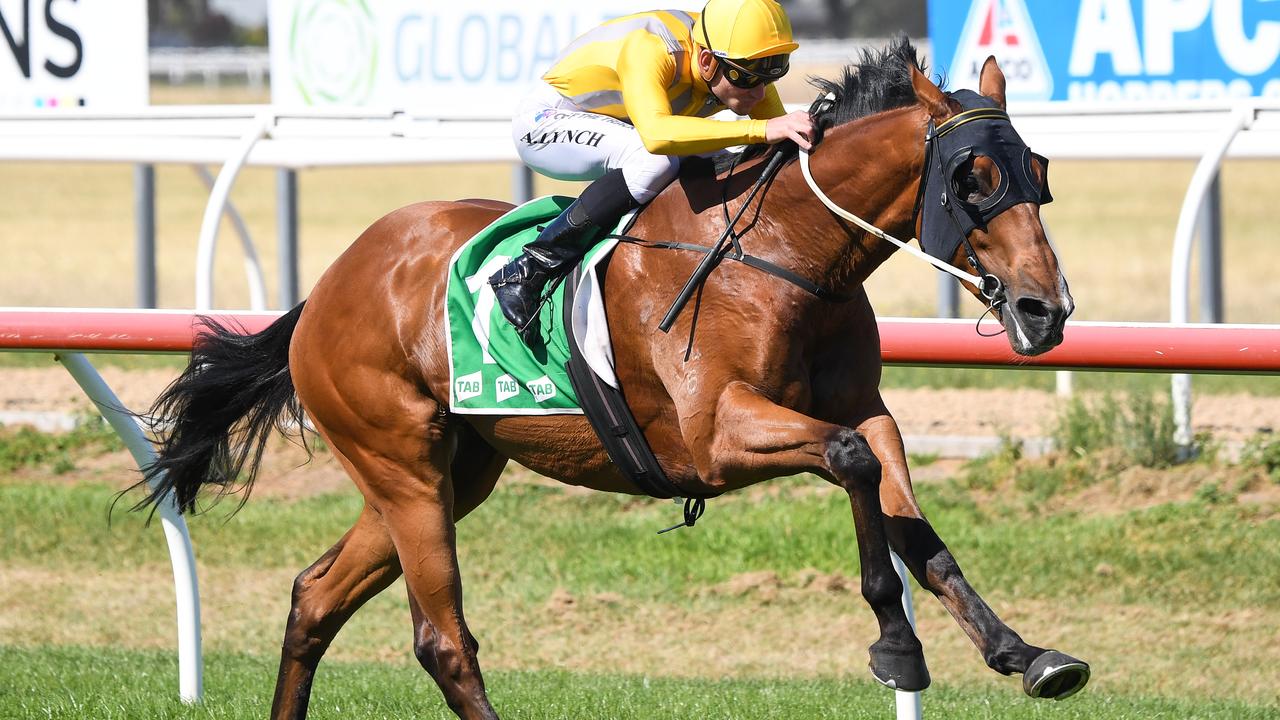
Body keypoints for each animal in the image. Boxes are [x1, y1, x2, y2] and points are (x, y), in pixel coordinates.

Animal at [137, 40, 1080, 717]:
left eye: (1037, 171)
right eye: (973, 178)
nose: (1047, 310)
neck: (790, 253)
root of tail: (327, 287)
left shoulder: (867, 408)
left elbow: (914, 524)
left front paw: (1026, 654)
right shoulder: (716, 436)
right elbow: (851, 462)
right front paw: (896, 646)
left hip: (448, 473)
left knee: (315, 598)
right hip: (400, 463)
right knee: (443, 642)